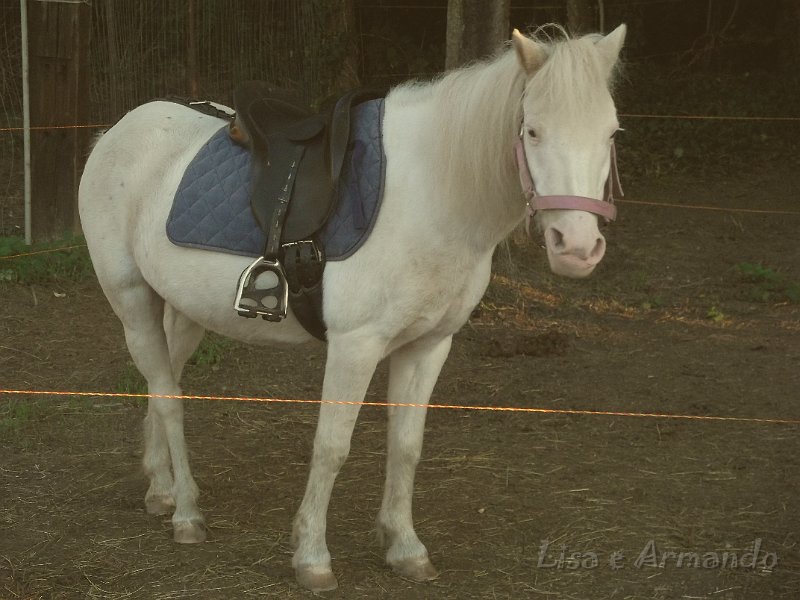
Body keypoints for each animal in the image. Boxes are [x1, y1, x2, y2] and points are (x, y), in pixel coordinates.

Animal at [78, 25, 627, 592]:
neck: (431, 195)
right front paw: (312, 557)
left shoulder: (429, 346)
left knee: (159, 383)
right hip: (130, 300)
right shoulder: (356, 346)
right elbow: (332, 446)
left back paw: (161, 491)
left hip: (185, 313)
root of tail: (117, 131)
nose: (577, 248)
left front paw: (405, 547)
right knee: (169, 398)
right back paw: (187, 512)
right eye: (533, 131)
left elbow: (407, 445)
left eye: (611, 133)